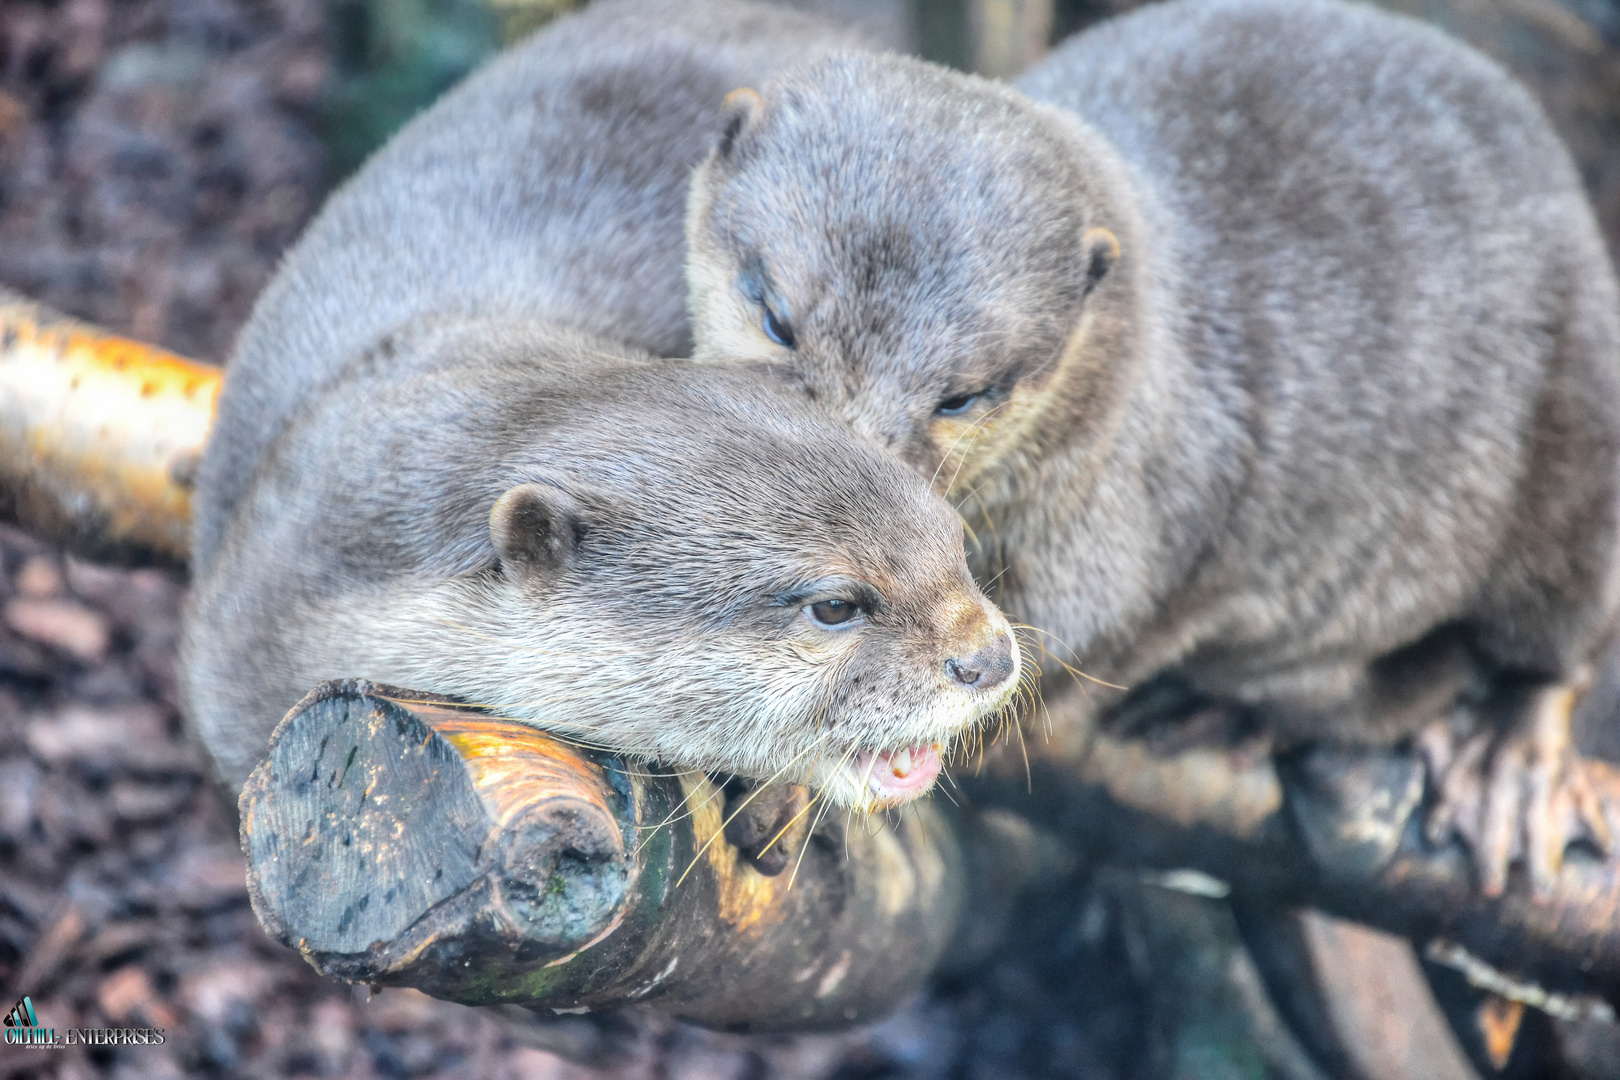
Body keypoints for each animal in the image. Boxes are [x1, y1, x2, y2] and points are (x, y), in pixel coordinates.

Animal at [683, 0, 1620, 893]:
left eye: (964, 396)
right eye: (777, 319)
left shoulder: (1131, 518)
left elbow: (1037, 657)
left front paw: (794, 782)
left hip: (1580, 418)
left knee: (1562, 633)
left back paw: (1511, 761)